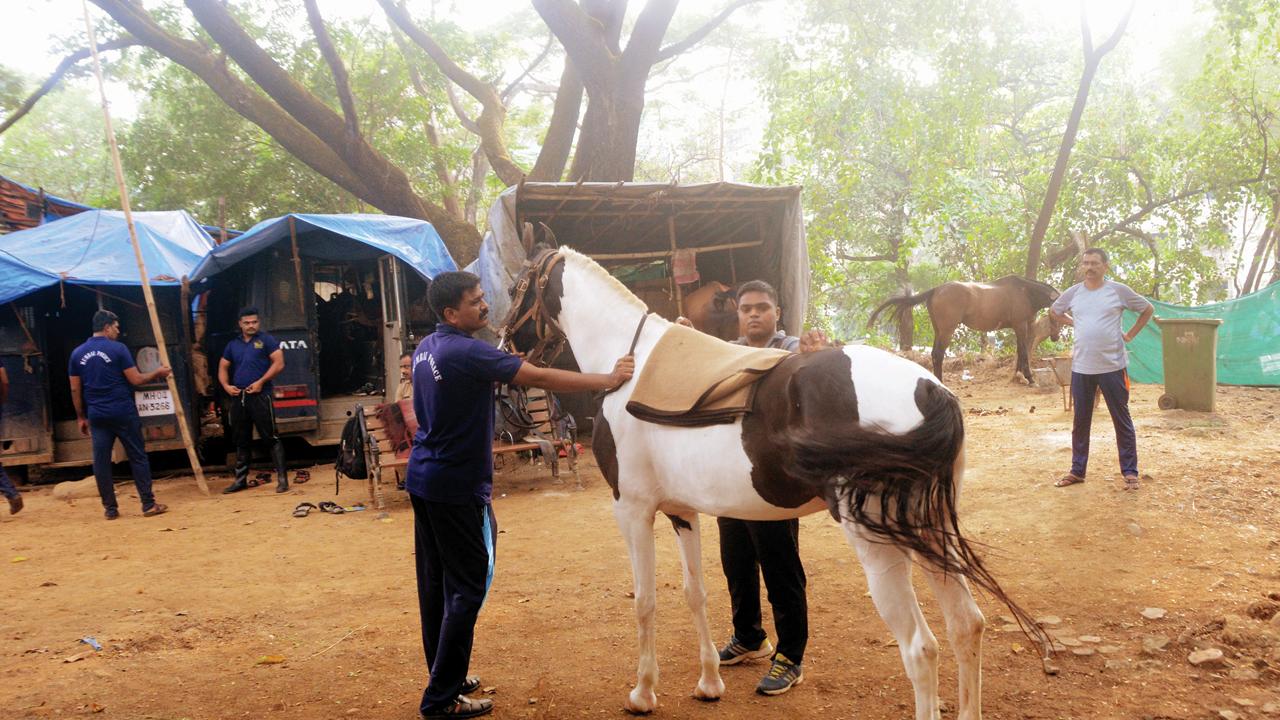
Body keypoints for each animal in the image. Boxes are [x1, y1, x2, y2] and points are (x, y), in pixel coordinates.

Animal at [870, 274, 1059, 384]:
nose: (1056, 338)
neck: (1025, 292)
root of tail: (936, 290)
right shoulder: (1020, 325)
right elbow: (1024, 351)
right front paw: (1028, 377)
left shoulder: (1018, 327)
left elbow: (1020, 351)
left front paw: (1018, 376)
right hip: (947, 330)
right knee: (938, 354)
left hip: (939, 330)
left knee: (934, 354)